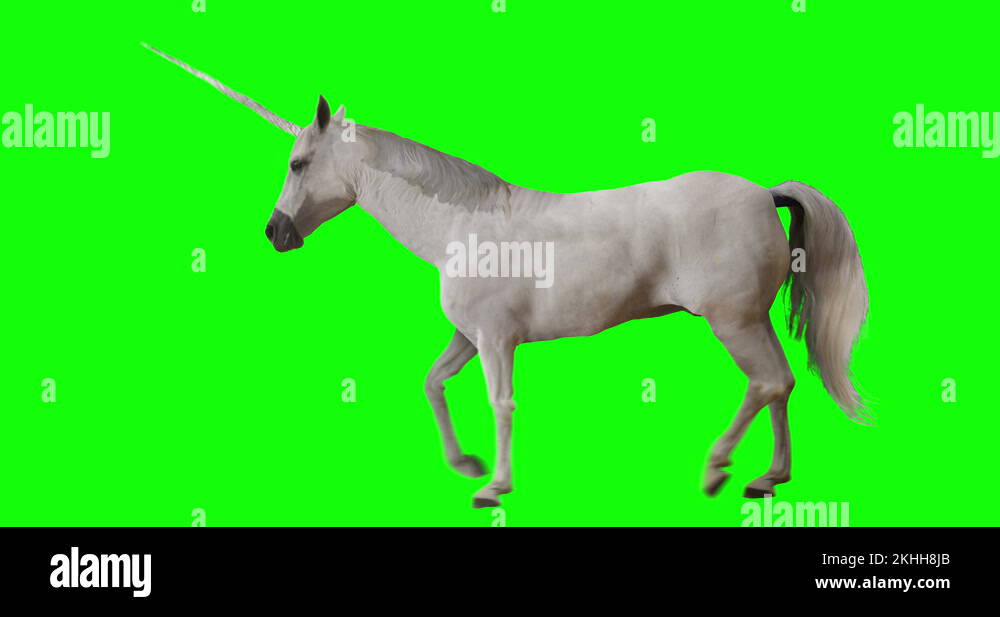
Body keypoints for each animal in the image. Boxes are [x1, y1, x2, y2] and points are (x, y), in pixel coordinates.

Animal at [144, 44, 869, 508]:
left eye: (297, 164)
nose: (275, 233)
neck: (462, 226)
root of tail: (763, 193)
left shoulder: (495, 341)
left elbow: (502, 403)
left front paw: (492, 486)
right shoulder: (468, 337)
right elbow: (433, 382)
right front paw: (464, 462)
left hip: (732, 321)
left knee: (766, 382)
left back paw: (721, 470)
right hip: (752, 320)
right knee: (781, 384)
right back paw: (768, 478)